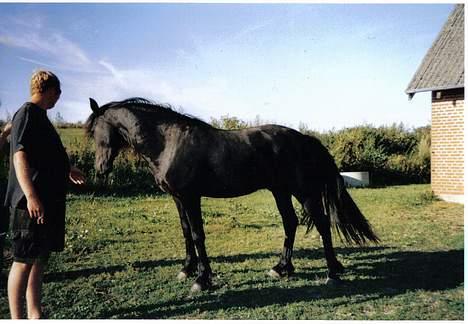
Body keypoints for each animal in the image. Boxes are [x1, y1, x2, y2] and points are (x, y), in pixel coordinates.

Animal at [85, 97, 380, 292]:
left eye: (96, 131)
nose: (101, 169)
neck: (169, 142)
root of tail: (305, 139)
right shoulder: (178, 198)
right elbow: (185, 232)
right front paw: (186, 269)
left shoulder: (191, 197)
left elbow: (197, 235)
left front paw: (202, 279)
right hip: (280, 191)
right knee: (290, 222)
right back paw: (281, 268)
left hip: (302, 192)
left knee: (321, 223)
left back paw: (332, 272)